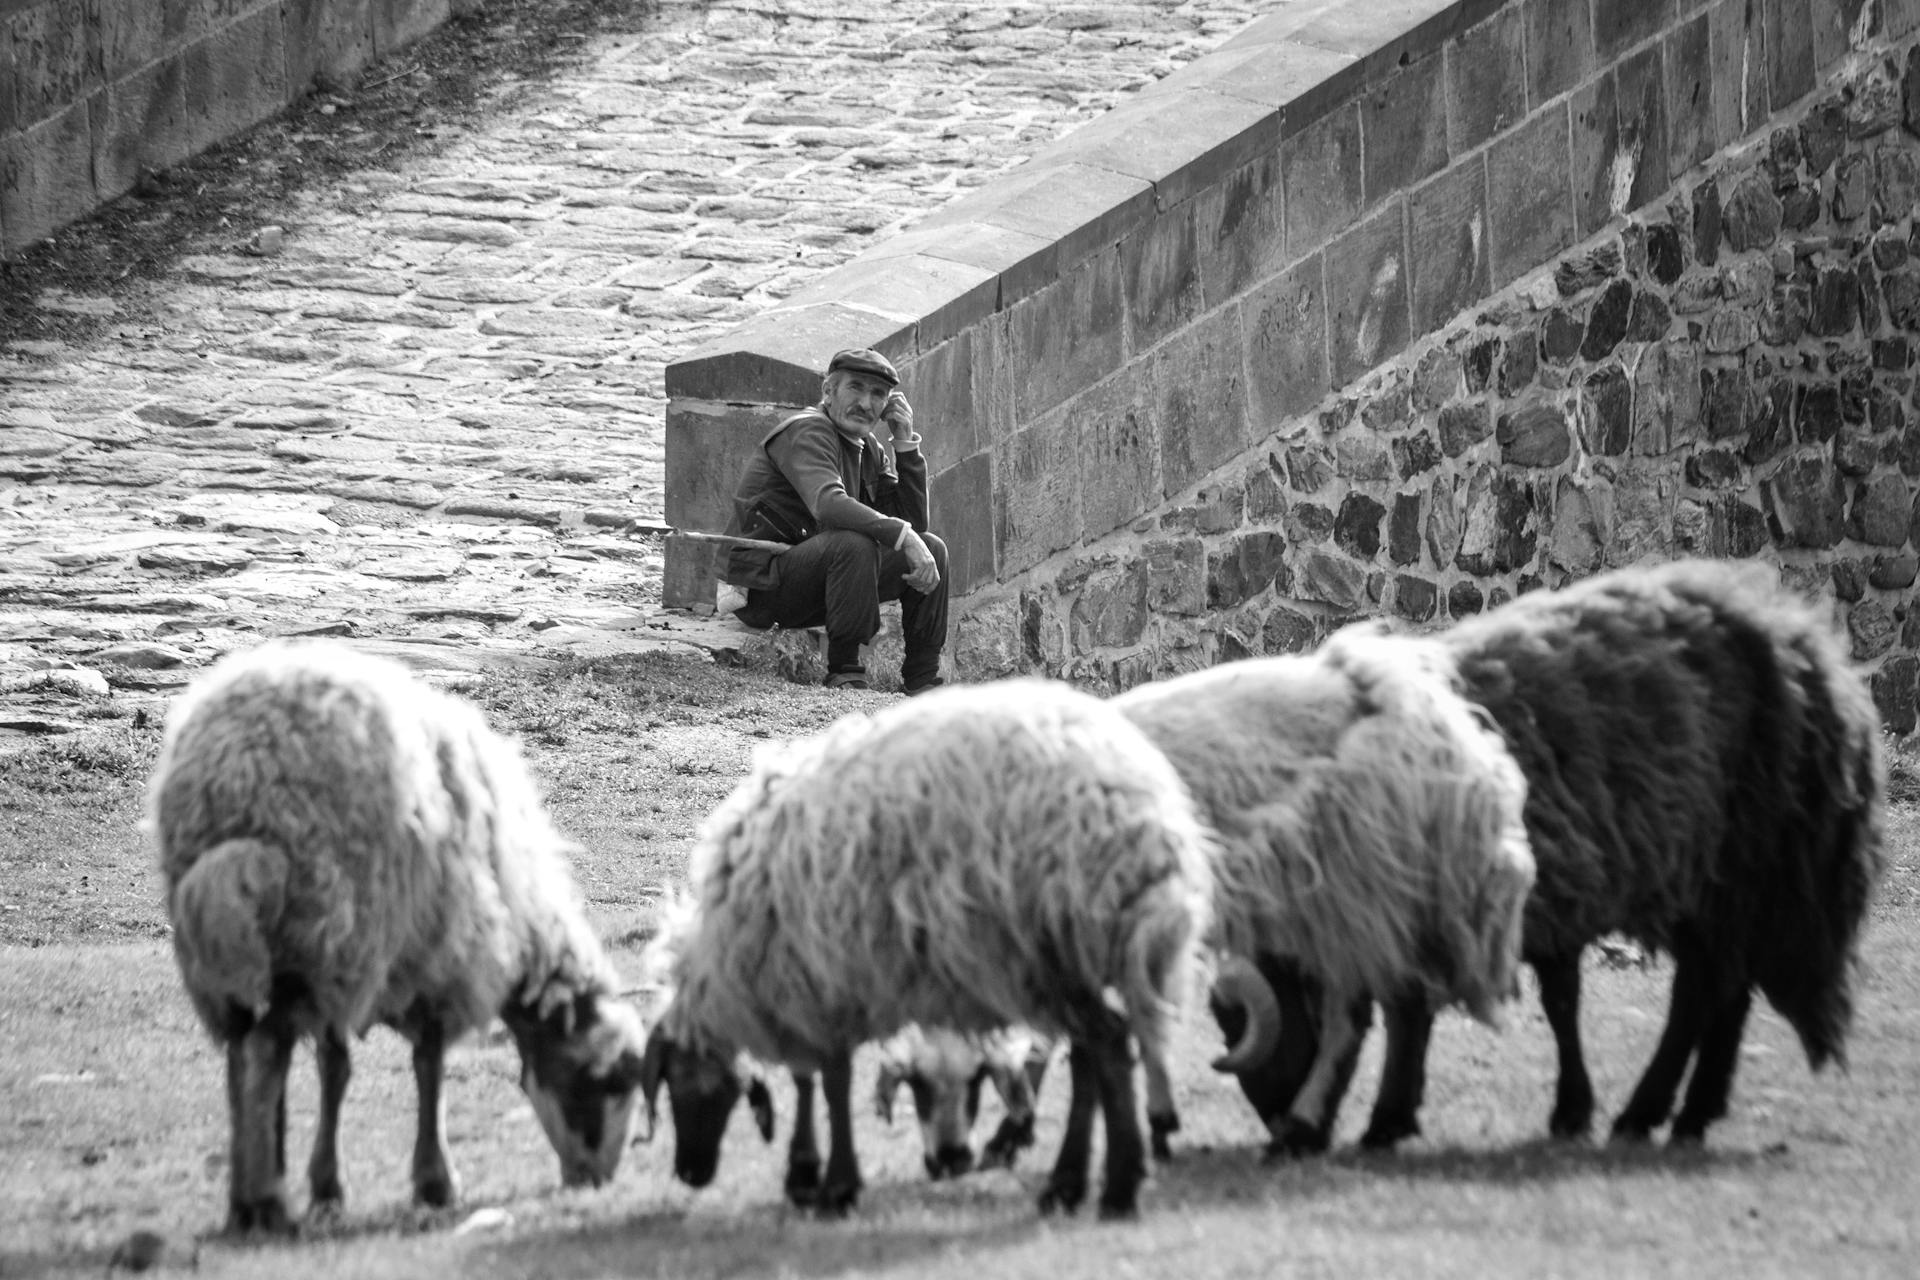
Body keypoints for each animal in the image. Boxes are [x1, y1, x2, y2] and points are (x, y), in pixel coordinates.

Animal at [144, 644, 652, 1235]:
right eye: (604, 1082)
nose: (593, 1181)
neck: (520, 920)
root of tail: (234, 780)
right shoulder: (435, 958)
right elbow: (427, 1066)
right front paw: (434, 1181)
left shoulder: (355, 963)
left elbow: (335, 1069)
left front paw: (328, 1187)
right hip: (312, 924)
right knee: (266, 1052)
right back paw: (264, 1200)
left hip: (246, 939)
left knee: (238, 1054)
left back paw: (243, 1197)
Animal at [641, 675, 1213, 1220]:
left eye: (678, 1081)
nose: (689, 1173)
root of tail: (1142, 806)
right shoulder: (815, 980)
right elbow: (813, 1078)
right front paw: (808, 1176)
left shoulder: (812, 976)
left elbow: (830, 1080)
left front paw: (831, 1185)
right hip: (1068, 953)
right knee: (1092, 1053)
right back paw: (1068, 1185)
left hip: (1043, 947)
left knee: (1108, 1046)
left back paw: (1116, 1188)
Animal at [1113, 625, 1543, 1159]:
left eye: (1232, 1027)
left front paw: (1157, 1122)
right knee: (1397, 1003)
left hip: (1355, 889)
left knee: (1358, 1016)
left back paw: (1313, 1126)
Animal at [1213, 560, 1889, 1151]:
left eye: (1243, 1025)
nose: (1276, 1126)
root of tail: (1803, 642)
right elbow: (1447, 1007)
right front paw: (1395, 1116)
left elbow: (1507, 1005)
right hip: (1707, 880)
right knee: (1716, 992)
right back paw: (1676, 1115)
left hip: (1740, 869)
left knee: (1708, 993)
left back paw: (1662, 1113)